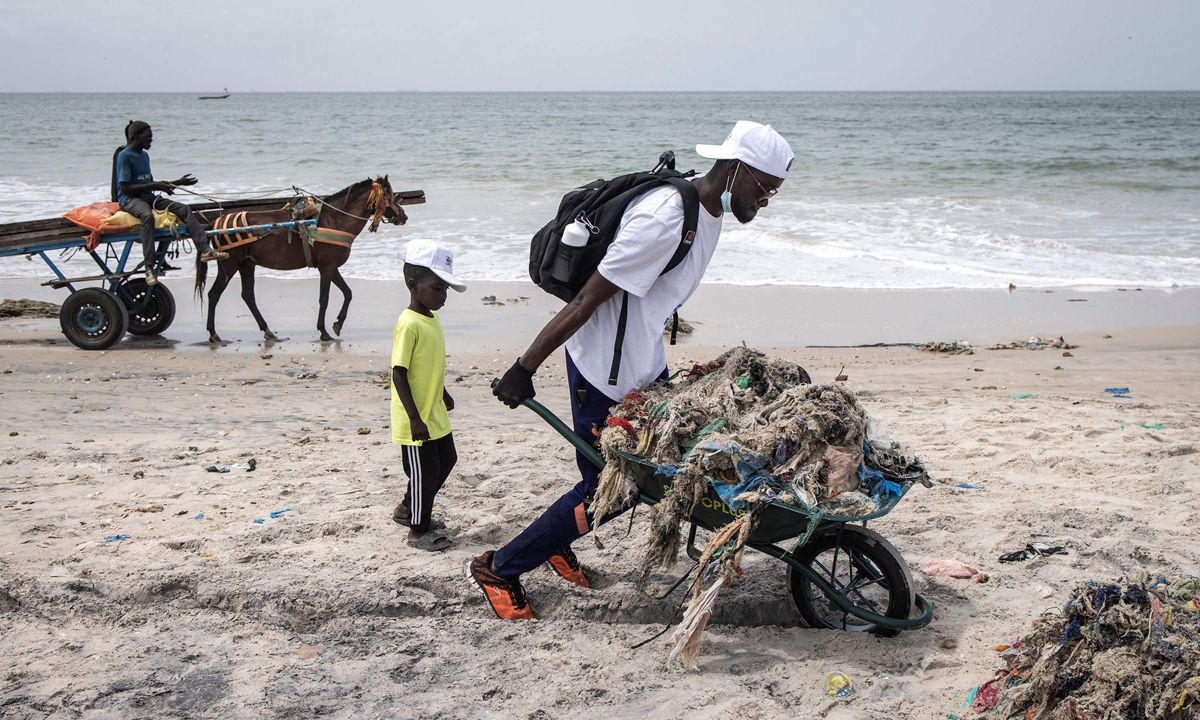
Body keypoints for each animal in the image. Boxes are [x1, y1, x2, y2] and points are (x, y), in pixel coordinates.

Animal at [196, 175, 403, 343]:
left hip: (246, 264)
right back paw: (213, 333)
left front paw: (338, 324)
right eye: (388, 195)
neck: (334, 220)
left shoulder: (331, 267)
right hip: (229, 263)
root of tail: (215, 223)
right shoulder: (327, 267)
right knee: (214, 294)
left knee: (248, 296)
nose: (404, 216)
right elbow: (324, 299)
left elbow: (348, 293)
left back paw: (267, 331)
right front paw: (324, 331)